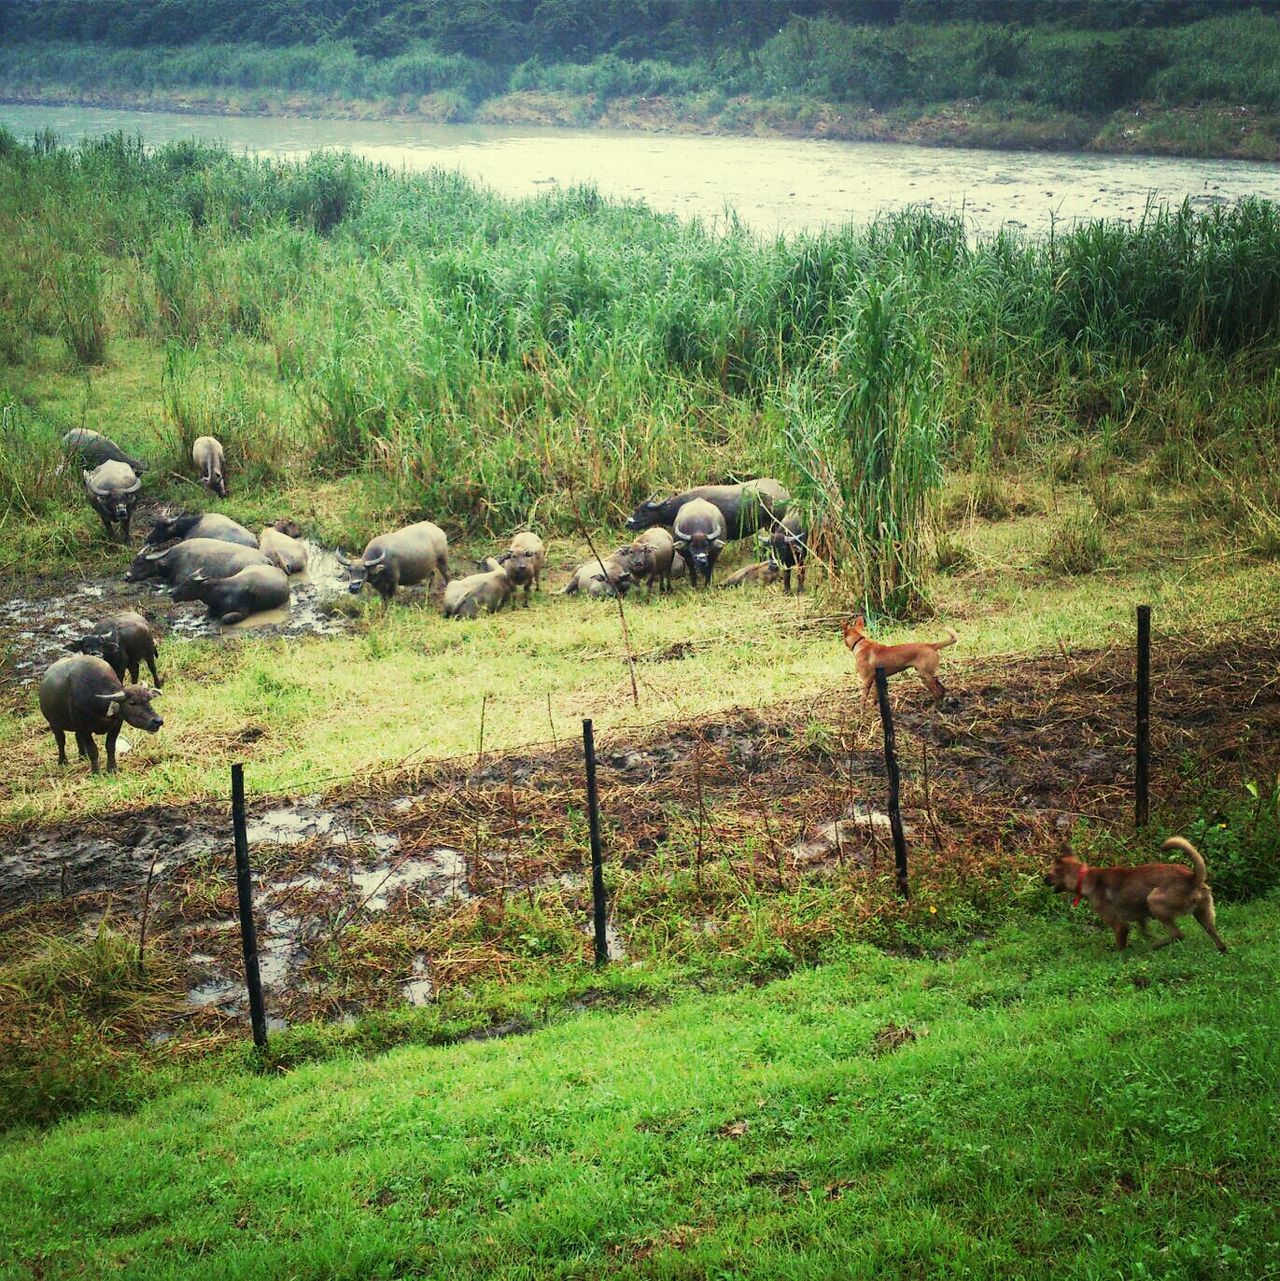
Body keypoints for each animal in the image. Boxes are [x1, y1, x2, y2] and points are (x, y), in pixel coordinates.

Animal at [1050, 840, 1230, 953]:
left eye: (1049, 873)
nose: (1045, 880)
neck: (1085, 877)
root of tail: (1191, 877)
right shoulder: (1142, 918)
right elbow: (1145, 932)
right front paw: (1150, 940)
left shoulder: (1119, 926)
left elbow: (1121, 945)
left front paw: (1118, 957)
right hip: (1203, 915)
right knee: (1216, 938)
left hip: (1154, 902)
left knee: (1178, 935)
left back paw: (1154, 947)